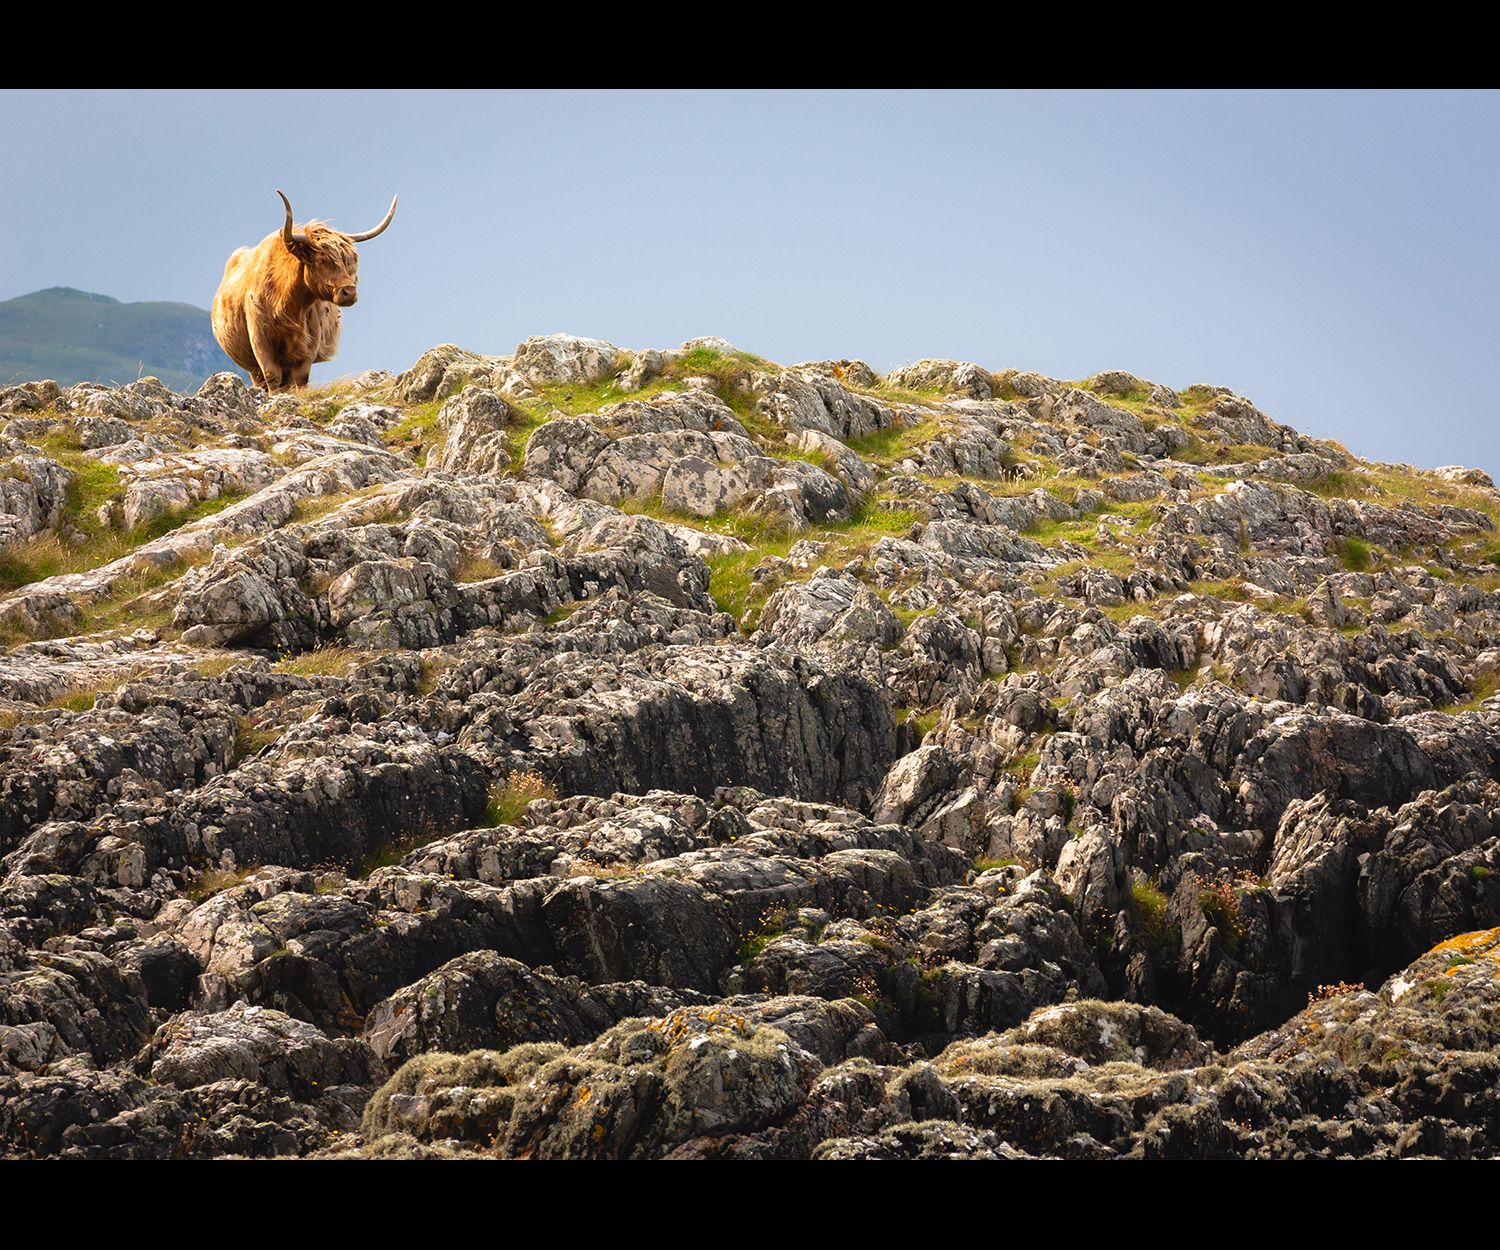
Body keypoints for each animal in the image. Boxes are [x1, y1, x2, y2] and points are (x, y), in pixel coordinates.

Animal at [211, 189, 397, 392]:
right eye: (322, 260)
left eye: (351, 261)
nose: (349, 292)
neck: (287, 303)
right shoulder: (259, 338)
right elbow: (272, 374)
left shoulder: (310, 344)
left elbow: (300, 379)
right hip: (251, 364)